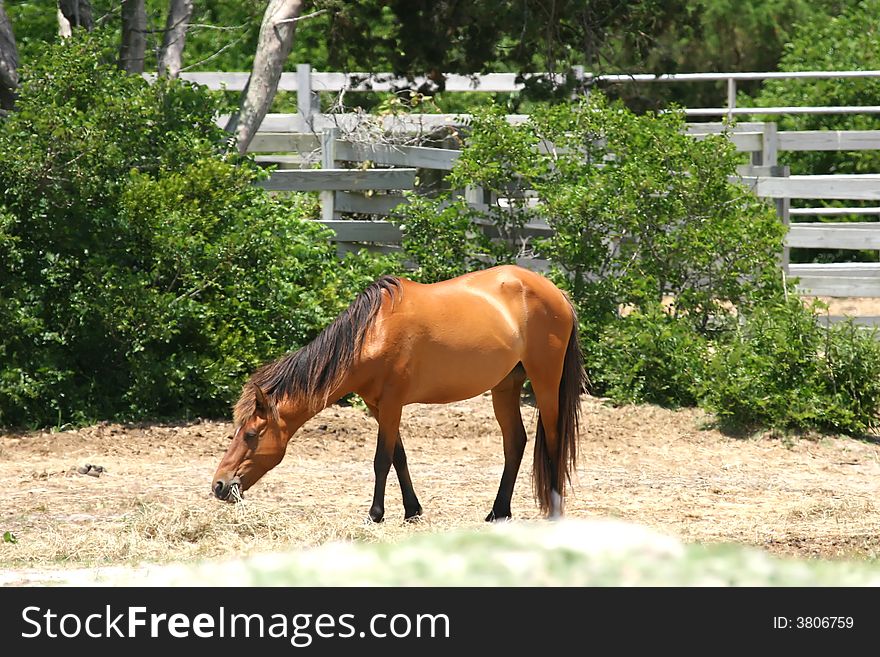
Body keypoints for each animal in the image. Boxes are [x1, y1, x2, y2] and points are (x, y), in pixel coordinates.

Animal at [211, 264, 588, 520]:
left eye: (250, 434)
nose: (219, 485)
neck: (372, 334)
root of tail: (556, 293)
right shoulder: (378, 406)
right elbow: (398, 456)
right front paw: (412, 510)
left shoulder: (393, 404)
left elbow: (381, 459)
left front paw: (375, 514)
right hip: (506, 385)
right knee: (515, 442)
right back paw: (498, 512)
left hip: (545, 381)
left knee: (553, 439)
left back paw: (554, 511)